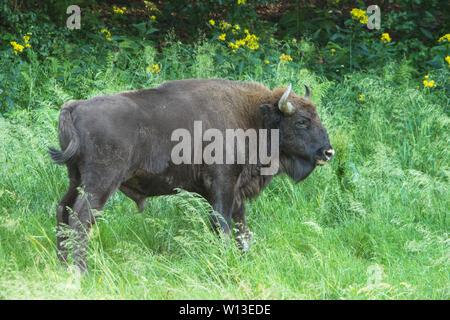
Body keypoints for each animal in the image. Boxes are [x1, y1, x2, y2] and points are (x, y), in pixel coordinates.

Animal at [51, 79, 336, 272]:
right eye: (301, 121)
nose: (328, 152)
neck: (254, 116)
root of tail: (74, 107)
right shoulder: (222, 186)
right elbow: (223, 224)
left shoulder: (236, 191)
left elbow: (241, 227)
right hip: (100, 183)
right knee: (80, 219)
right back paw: (82, 271)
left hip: (76, 179)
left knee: (63, 211)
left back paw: (64, 267)